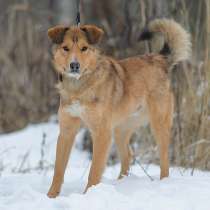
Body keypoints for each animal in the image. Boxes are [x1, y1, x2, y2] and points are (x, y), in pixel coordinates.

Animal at [46, 18, 191, 198]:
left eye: (84, 48)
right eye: (65, 48)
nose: (74, 65)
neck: (78, 87)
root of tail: (159, 58)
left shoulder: (101, 133)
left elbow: (94, 171)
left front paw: (89, 194)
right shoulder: (67, 131)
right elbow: (58, 169)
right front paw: (51, 196)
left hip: (159, 125)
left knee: (164, 160)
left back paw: (163, 183)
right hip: (120, 130)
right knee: (127, 156)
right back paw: (121, 184)